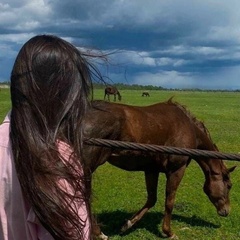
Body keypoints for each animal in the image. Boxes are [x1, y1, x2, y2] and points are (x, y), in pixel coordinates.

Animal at [82, 98, 234, 239]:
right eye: (229, 185)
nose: (226, 210)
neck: (188, 128)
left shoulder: (151, 169)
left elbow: (152, 199)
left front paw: (128, 224)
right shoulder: (176, 170)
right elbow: (169, 202)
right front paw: (169, 232)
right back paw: (99, 233)